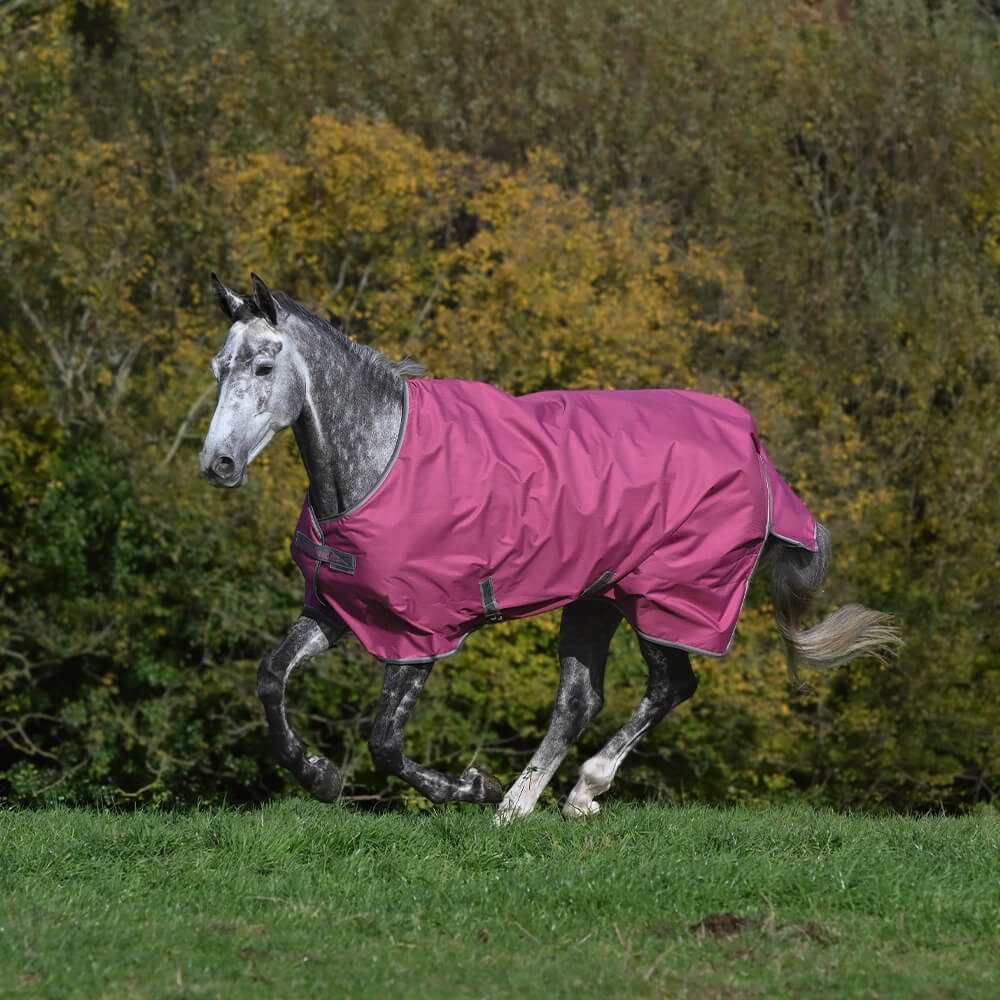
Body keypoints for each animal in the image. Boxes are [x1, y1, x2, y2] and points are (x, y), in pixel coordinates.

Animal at [199, 273, 900, 822]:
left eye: (264, 366)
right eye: (218, 368)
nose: (218, 464)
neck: (380, 460)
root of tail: (757, 452)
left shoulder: (419, 633)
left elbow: (385, 744)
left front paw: (469, 786)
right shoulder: (340, 611)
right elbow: (271, 676)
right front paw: (318, 774)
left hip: (664, 596)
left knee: (670, 685)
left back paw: (575, 792)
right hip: (596, 598)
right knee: (580, 699)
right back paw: (521, 805)